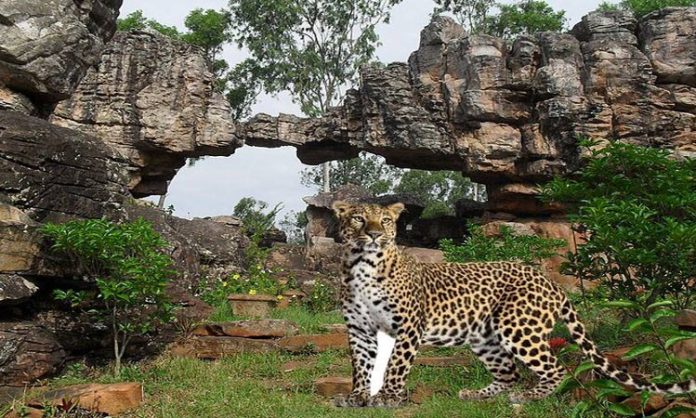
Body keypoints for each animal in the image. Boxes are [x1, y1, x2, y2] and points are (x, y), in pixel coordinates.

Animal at [332, 202, 696, 408]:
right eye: (359, 219)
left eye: (385, 221)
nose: (375, 234)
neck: (362, 265)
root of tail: (550, 282)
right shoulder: (360, 329)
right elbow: (361, 365)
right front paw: (357, 397)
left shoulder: (408, 325)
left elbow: (395, 365)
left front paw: (386, 398)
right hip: (485, 337)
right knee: (509, 374)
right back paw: (476, 395)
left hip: (518, 327)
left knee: (554, 370)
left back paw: (526, 398)